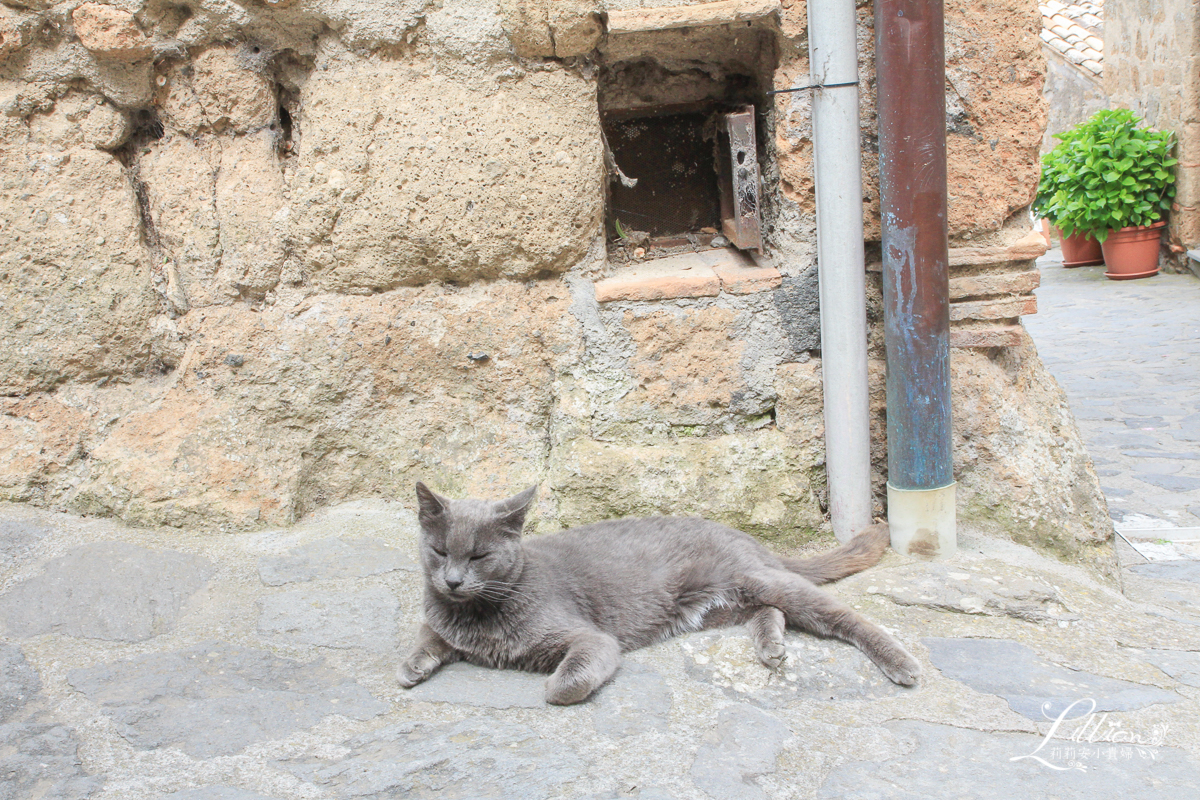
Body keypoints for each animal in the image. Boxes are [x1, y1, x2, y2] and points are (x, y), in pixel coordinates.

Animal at [398, 482, 921, 700]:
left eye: (479, 556)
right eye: (440, 551)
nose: (452, 581)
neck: (476, 617)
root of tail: (744, 534)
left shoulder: (590, 640)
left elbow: (564, 685)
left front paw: (551, 686)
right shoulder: (439, 621)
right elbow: (427, 635)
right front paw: (411, 667)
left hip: (756, 580)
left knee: (840, 615)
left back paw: (902, 662)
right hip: (719, 605)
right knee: (771, 611)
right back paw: (771, 649)